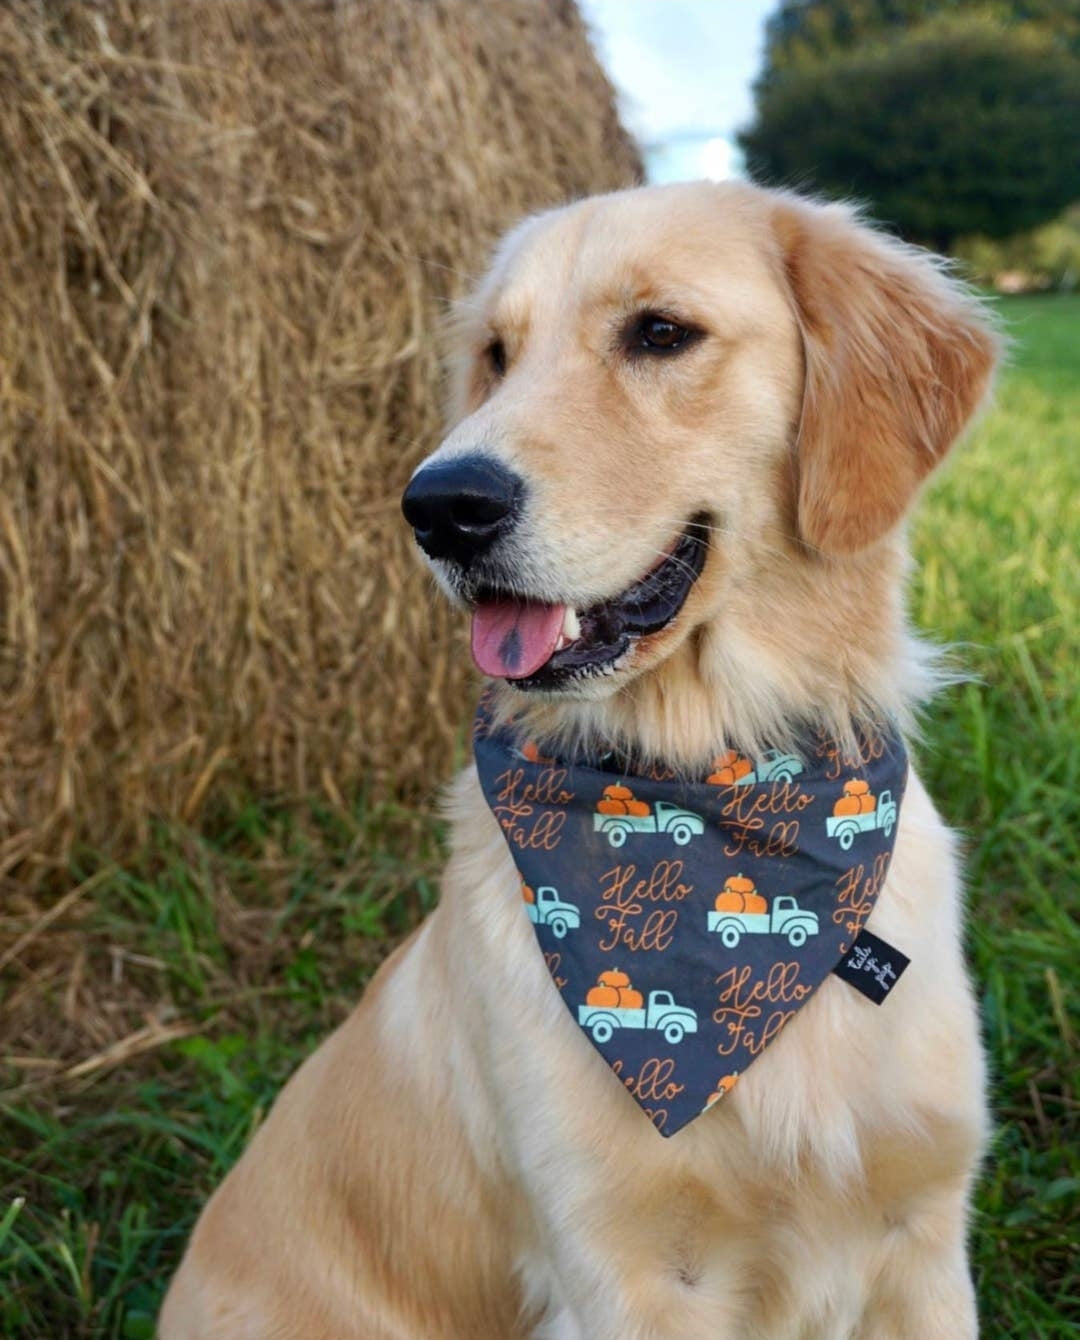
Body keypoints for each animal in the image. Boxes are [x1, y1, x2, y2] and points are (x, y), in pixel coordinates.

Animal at [158, 180, 996, 1340]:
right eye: (497, 354)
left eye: (660, 332)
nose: (440, 506)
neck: (708, 787)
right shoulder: (619, 1267)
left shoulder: (923, 1231)